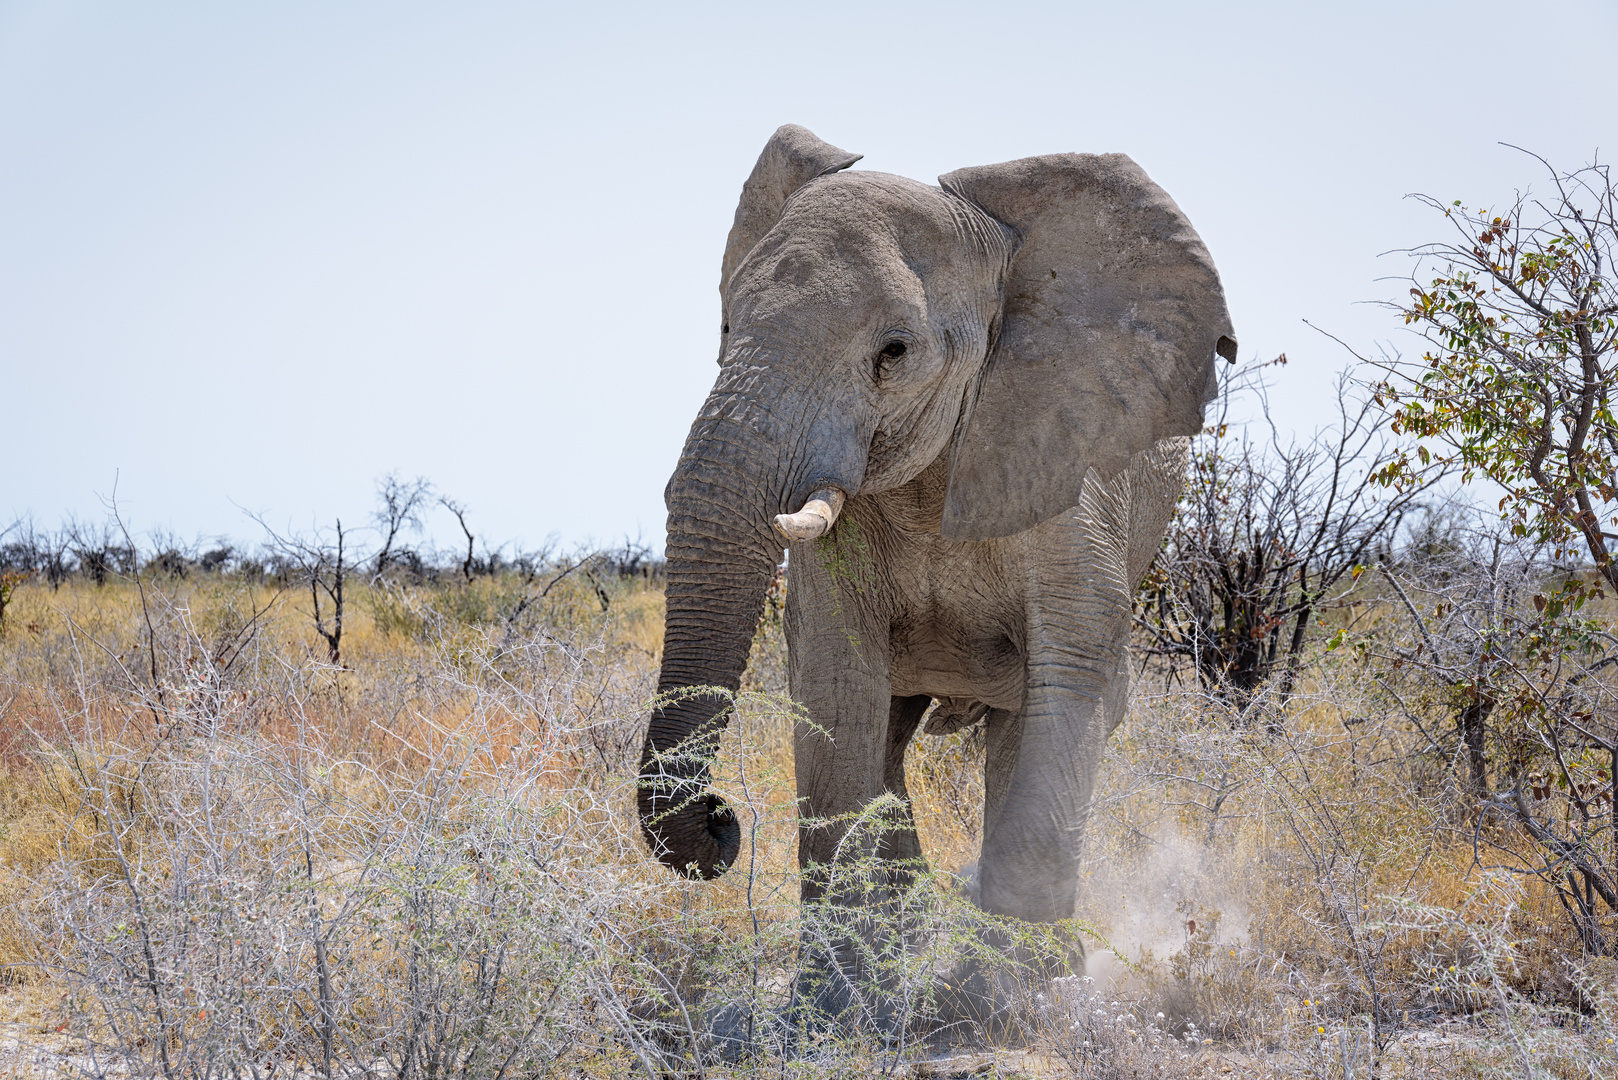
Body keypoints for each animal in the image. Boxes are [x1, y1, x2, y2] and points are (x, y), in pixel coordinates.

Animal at [637, 127, 1229, 932]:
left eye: (894, 352)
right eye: (727, 324)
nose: (719, 816)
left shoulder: (1074, 474)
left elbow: (1069, 681)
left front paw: (1013, 964)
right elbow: (836, 692)